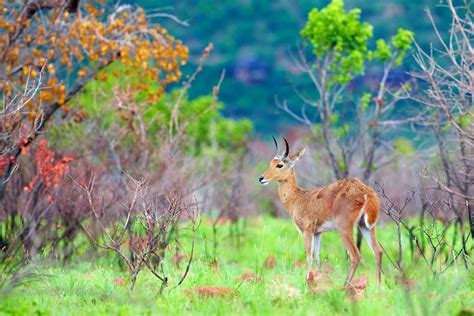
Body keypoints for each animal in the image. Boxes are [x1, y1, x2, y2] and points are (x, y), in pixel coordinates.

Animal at [258, 136, 384, 286]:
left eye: (280, 165)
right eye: (271, 163)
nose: (261, 178)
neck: (298, 198)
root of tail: (366, 191)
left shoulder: (307, 230)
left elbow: (308, 257)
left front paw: (307, 282)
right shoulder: (318, 232)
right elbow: (317, 257)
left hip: (344, 227)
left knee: (355, 255)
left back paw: (344, 286)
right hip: (366, 226)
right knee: (378, 251)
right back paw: (378, 287)